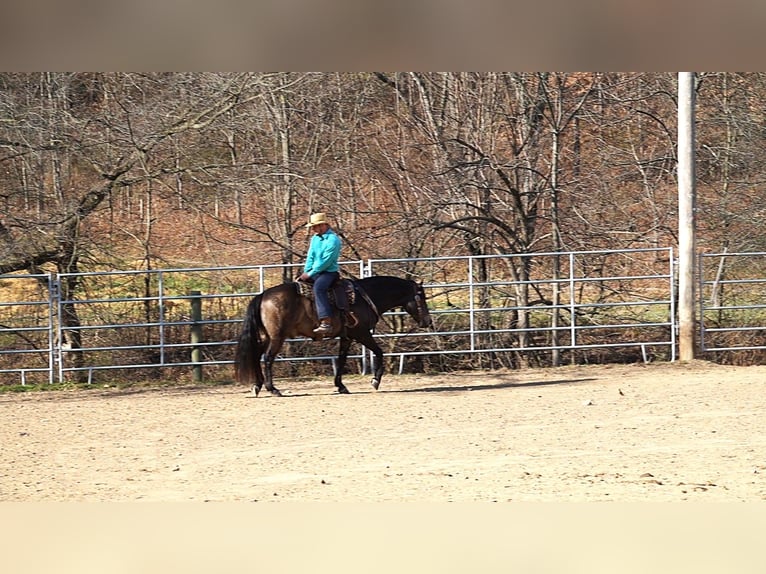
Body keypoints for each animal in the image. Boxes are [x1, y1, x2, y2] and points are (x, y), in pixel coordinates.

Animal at [234, 276, 436, 398]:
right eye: (421, 297)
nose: (427, 321)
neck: (365, 297)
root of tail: (262, 295)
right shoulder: (361, 333)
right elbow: (379, 352)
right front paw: (375, 381)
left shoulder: (347, 337)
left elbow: (341, 359)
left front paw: (341, 386)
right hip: (277, 337)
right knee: (267, 359)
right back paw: (273, 389)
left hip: (264, 337)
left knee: (256, 357)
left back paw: (257, 386)